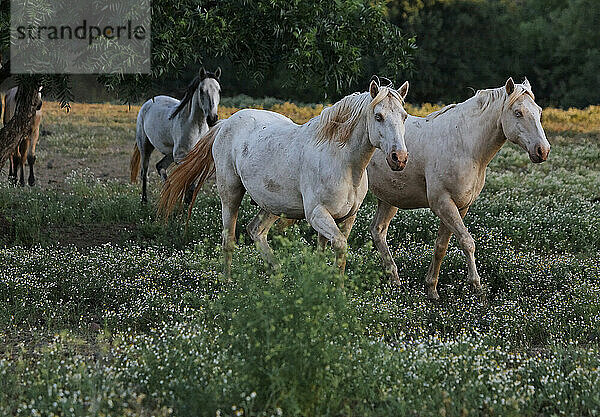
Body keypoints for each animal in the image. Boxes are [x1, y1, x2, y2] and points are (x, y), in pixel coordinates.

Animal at [130, 66, 221, 202]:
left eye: (219, 90)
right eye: (201, 91)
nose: (212, 118)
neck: (195, 125)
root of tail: (149, 102)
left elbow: (191, 186)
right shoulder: (181, 157)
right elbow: (187, 183)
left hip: (169, 153)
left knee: (160, 166)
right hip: (145, 146)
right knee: (144, 172)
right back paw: (144, 201)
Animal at [161, 78, 412, 276]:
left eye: (404, 116)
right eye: (378, 116)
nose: (399, 158)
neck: (343, 162)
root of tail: (225, 123)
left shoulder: (346, 218)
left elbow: (329, 254)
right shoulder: (317, 214)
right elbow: (340, 247)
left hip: (273, 205)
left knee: (256, 231)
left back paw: (278, 276)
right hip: (230, 195)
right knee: (229, 238)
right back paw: (228, 281)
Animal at [368, 78, 552, 300]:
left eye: (539, 111)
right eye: (518, 112)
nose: (542, 151)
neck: (464, 144)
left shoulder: (460, 206)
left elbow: (441, 246)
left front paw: (432, 290)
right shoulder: (443, 203)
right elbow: (467, 242)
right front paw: (477, 287)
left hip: (389, 199)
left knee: (378, 231)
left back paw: (395, 281)